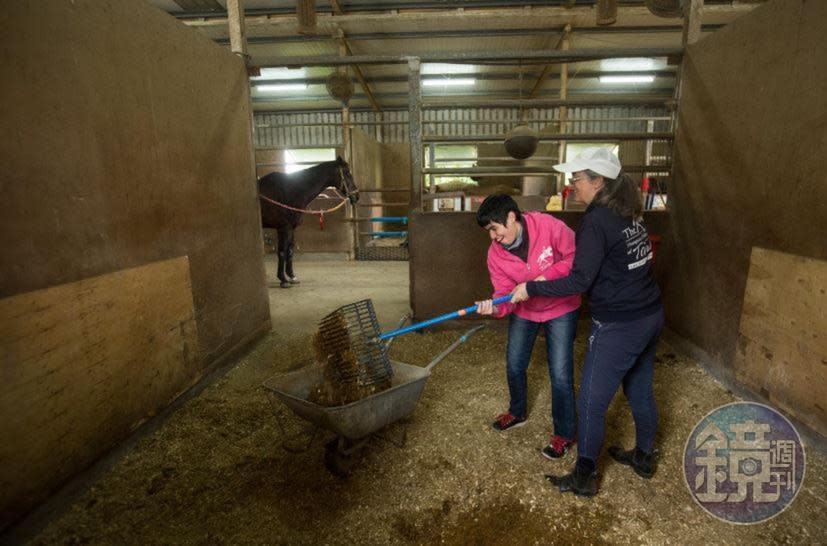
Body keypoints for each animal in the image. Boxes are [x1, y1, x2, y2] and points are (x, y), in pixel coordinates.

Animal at [258, 155, 360, 286]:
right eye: (347, 173)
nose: (357, 196)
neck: (290, 191)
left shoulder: (292, 228)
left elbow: (290, 251)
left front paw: (292, 277)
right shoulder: (283, 228)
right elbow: (282, 252)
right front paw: (283, 280)